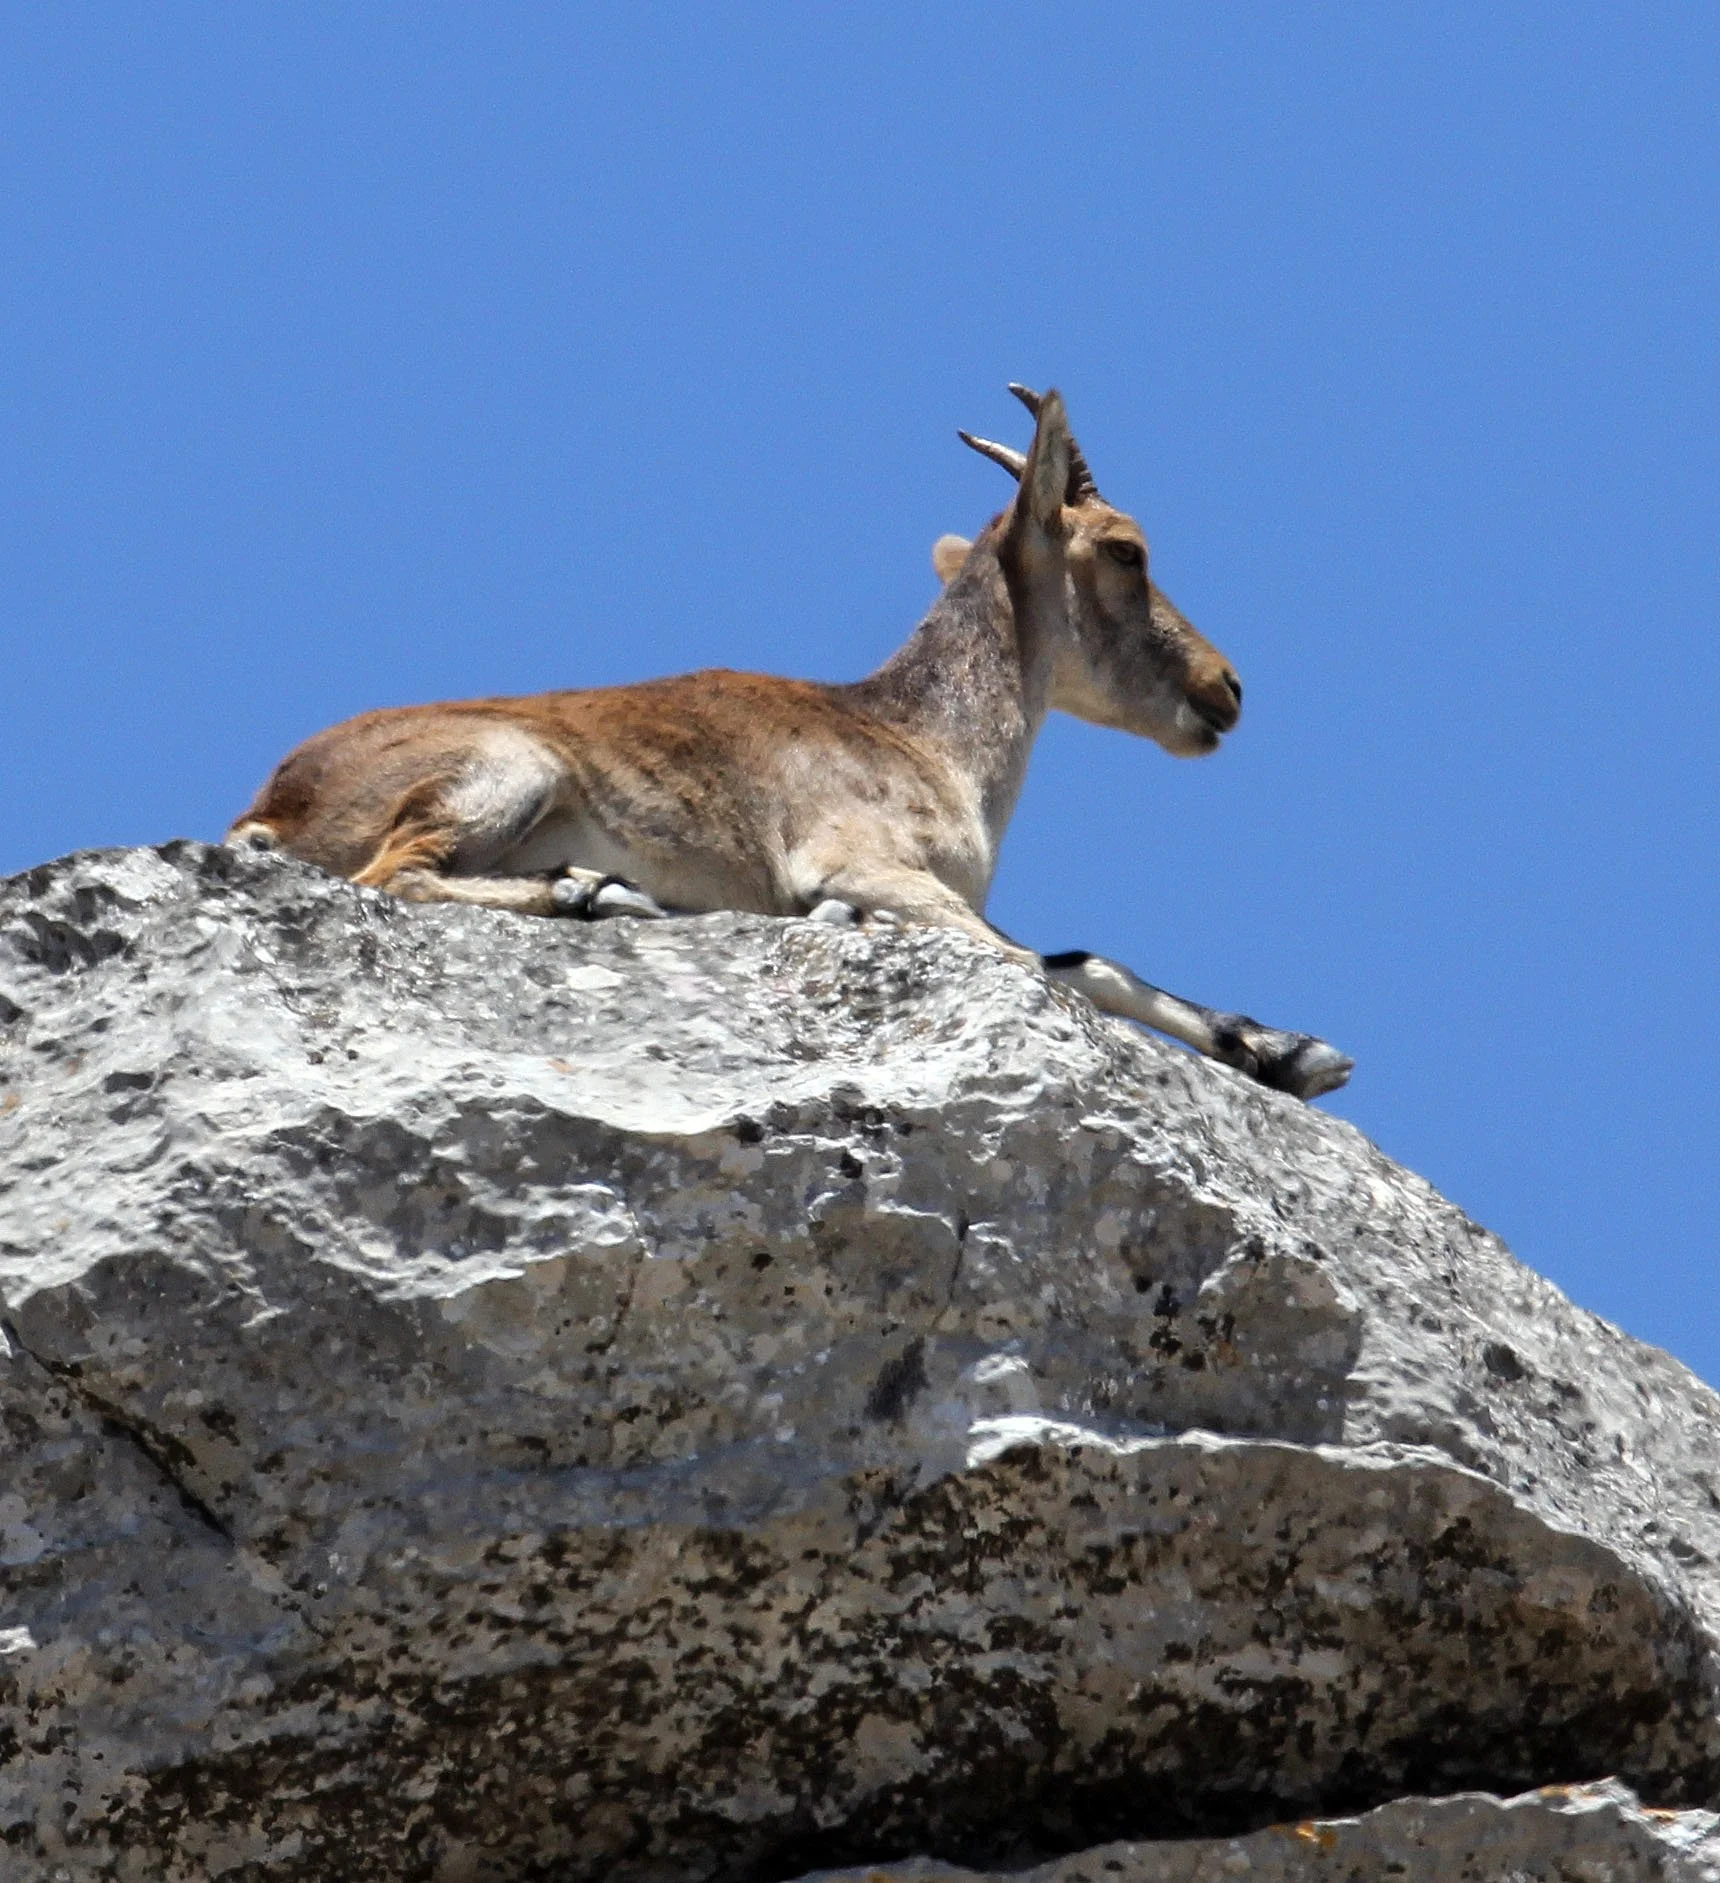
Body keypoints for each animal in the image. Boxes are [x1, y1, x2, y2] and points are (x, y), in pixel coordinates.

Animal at [228, 385, 1352, 1100]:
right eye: (1126, 549)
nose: (1225, 687)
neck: (923, 740)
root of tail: (269, 808)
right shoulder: (860, 858)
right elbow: (1032, 961)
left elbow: (1079, 958)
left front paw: (1292, 1052)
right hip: (512, 767)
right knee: (396, 874)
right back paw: (590, 892)